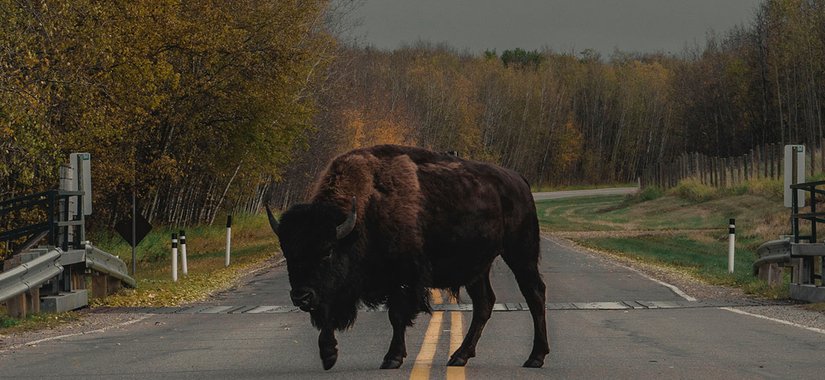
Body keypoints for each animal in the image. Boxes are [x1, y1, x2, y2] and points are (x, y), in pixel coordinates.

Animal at [264, 144, 548, 370]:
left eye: (327, 251)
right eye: (288, 252)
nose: (301, 296)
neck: (363, 213)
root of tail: (519, 181)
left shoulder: (403, 279)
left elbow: (397, 317)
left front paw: (392, 358)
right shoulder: (338, 290)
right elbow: (328, 315)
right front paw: (328, 355)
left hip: (521, 252)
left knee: (534, 294)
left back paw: (535, 357)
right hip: (477, 269)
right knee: (484, 303)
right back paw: (459, 356)